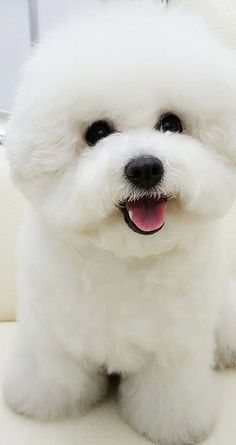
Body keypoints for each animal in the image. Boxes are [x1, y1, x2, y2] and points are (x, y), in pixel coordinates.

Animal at [3, 0, 236, 444]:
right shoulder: (51, 335)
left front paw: (174, 426)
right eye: (97, 132)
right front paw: (42, 404)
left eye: (172, 124)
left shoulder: (175, 349)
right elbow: (53, 373)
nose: (145, 168)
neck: (127, 258)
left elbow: (170, 395)